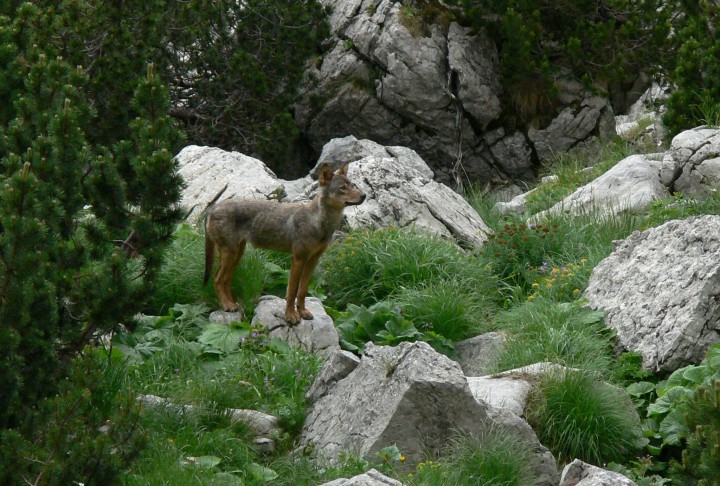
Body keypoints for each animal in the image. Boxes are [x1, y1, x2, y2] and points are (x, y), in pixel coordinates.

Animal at [204, 163, 366, 325]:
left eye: (353, 185)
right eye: (342, 188)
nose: (364, 195)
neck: (318, 223)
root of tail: (212, 209)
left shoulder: (313, 260)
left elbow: (302, 291)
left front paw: (303, 312)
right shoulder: (298, 259)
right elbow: (292, 291)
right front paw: (291, 316)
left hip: (237, 254)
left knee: (226, 279)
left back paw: (233, 304)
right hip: (230, 253)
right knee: (217, 279)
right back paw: (227, 306)